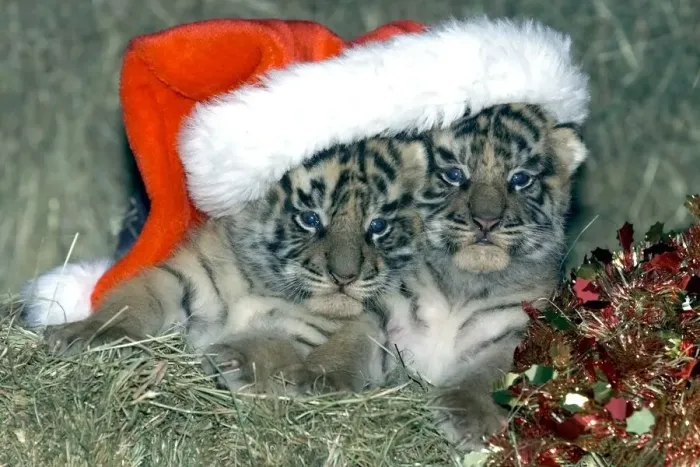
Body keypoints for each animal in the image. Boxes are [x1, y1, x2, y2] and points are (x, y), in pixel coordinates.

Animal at [42, 137, 429, 395]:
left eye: (377, 225)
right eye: (309, 219)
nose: (345, 277)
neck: (262, 283)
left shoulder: (310, 327)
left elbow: (274, 341)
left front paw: (234, 360)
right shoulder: (179, 278)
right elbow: (130, 303)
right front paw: (89, 334)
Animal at [376, 103, 588, 450]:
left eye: (520, 178)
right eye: (454, 174)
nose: (486, 221)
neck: (463, 287)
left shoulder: (519, 327)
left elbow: (491, 370)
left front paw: (470, 419)